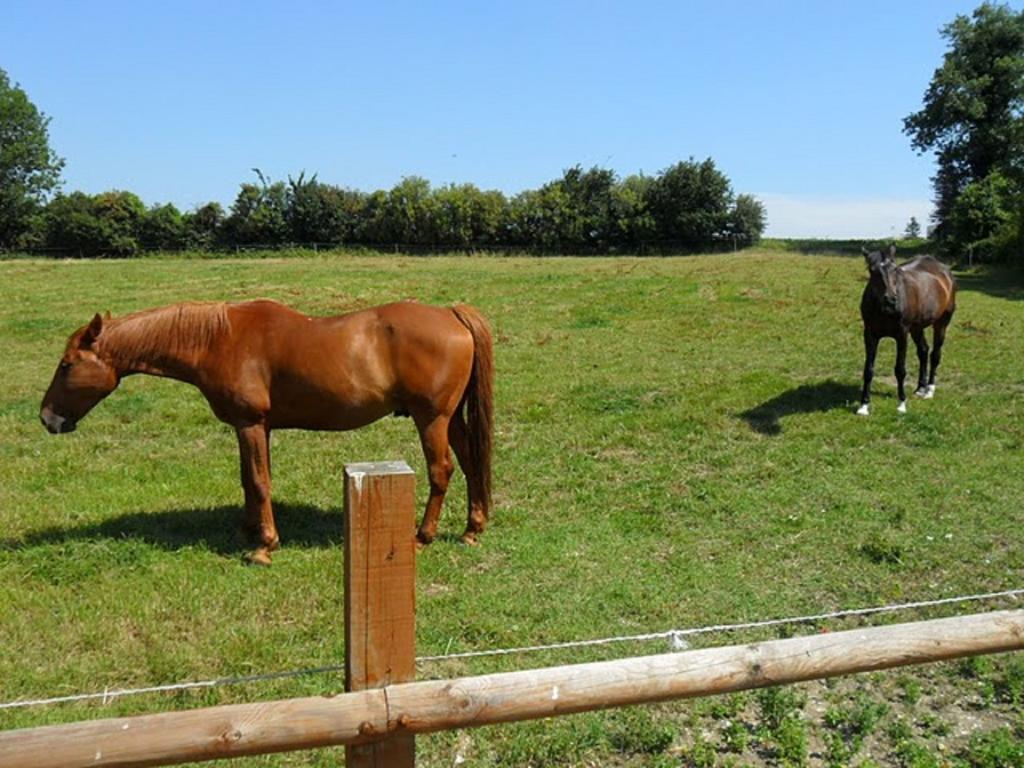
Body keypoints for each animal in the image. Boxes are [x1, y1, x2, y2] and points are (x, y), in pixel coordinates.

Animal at [41, 301, 497, 565]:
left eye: (66, 365)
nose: (47, 419)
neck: (219, 339)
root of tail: (451, 314)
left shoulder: (250, 424)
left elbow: (259, 482)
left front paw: (264, 545)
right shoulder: (256, 428)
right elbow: (249, 479)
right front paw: (248, 529)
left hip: (431, 418)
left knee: (441, 471)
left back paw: (422, 537)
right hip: (451, 418)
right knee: (471, 463)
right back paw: (472, 529)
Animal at [860, 244, 954, 415]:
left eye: (895, 269)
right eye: (872, 270)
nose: (890, 300)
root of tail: (944, 271)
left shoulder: (902, 335)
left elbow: (900, 369)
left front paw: (901, 403)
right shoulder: (870, 335)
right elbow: (868, 369)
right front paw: (863, 405)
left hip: (942, 323)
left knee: (935, 354)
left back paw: (929, 389)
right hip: (917, 328)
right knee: (923, 351)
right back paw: (920, 388)